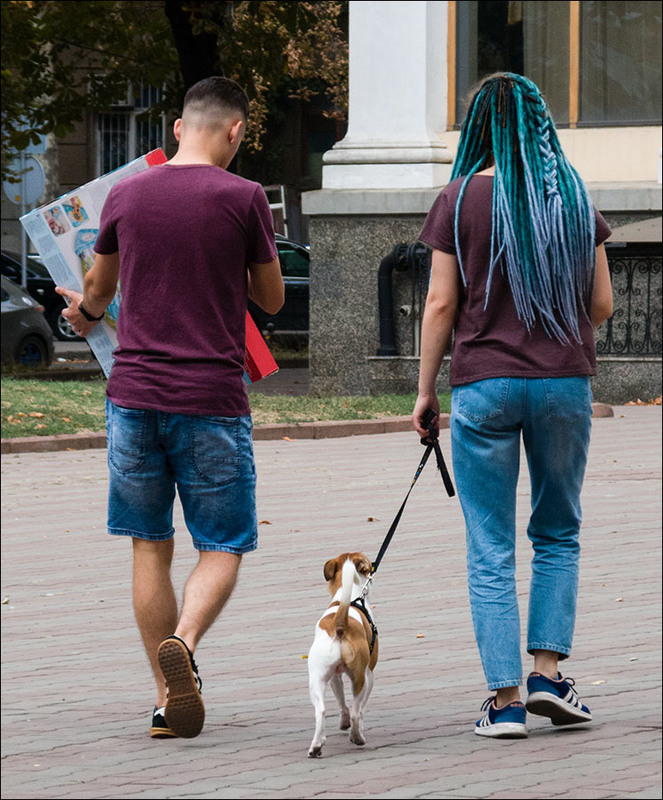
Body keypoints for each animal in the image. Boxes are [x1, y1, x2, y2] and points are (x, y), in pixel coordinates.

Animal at [308, 552, 378, 756]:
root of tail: (340, 625)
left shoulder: (334, 677)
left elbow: (341, 702)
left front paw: (343, 722)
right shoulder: (370, 674)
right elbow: (358, 710)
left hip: (316, 678)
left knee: (321, 711)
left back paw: (316, 746)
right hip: (361, 679)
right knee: (356, 712)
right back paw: (358, 737)